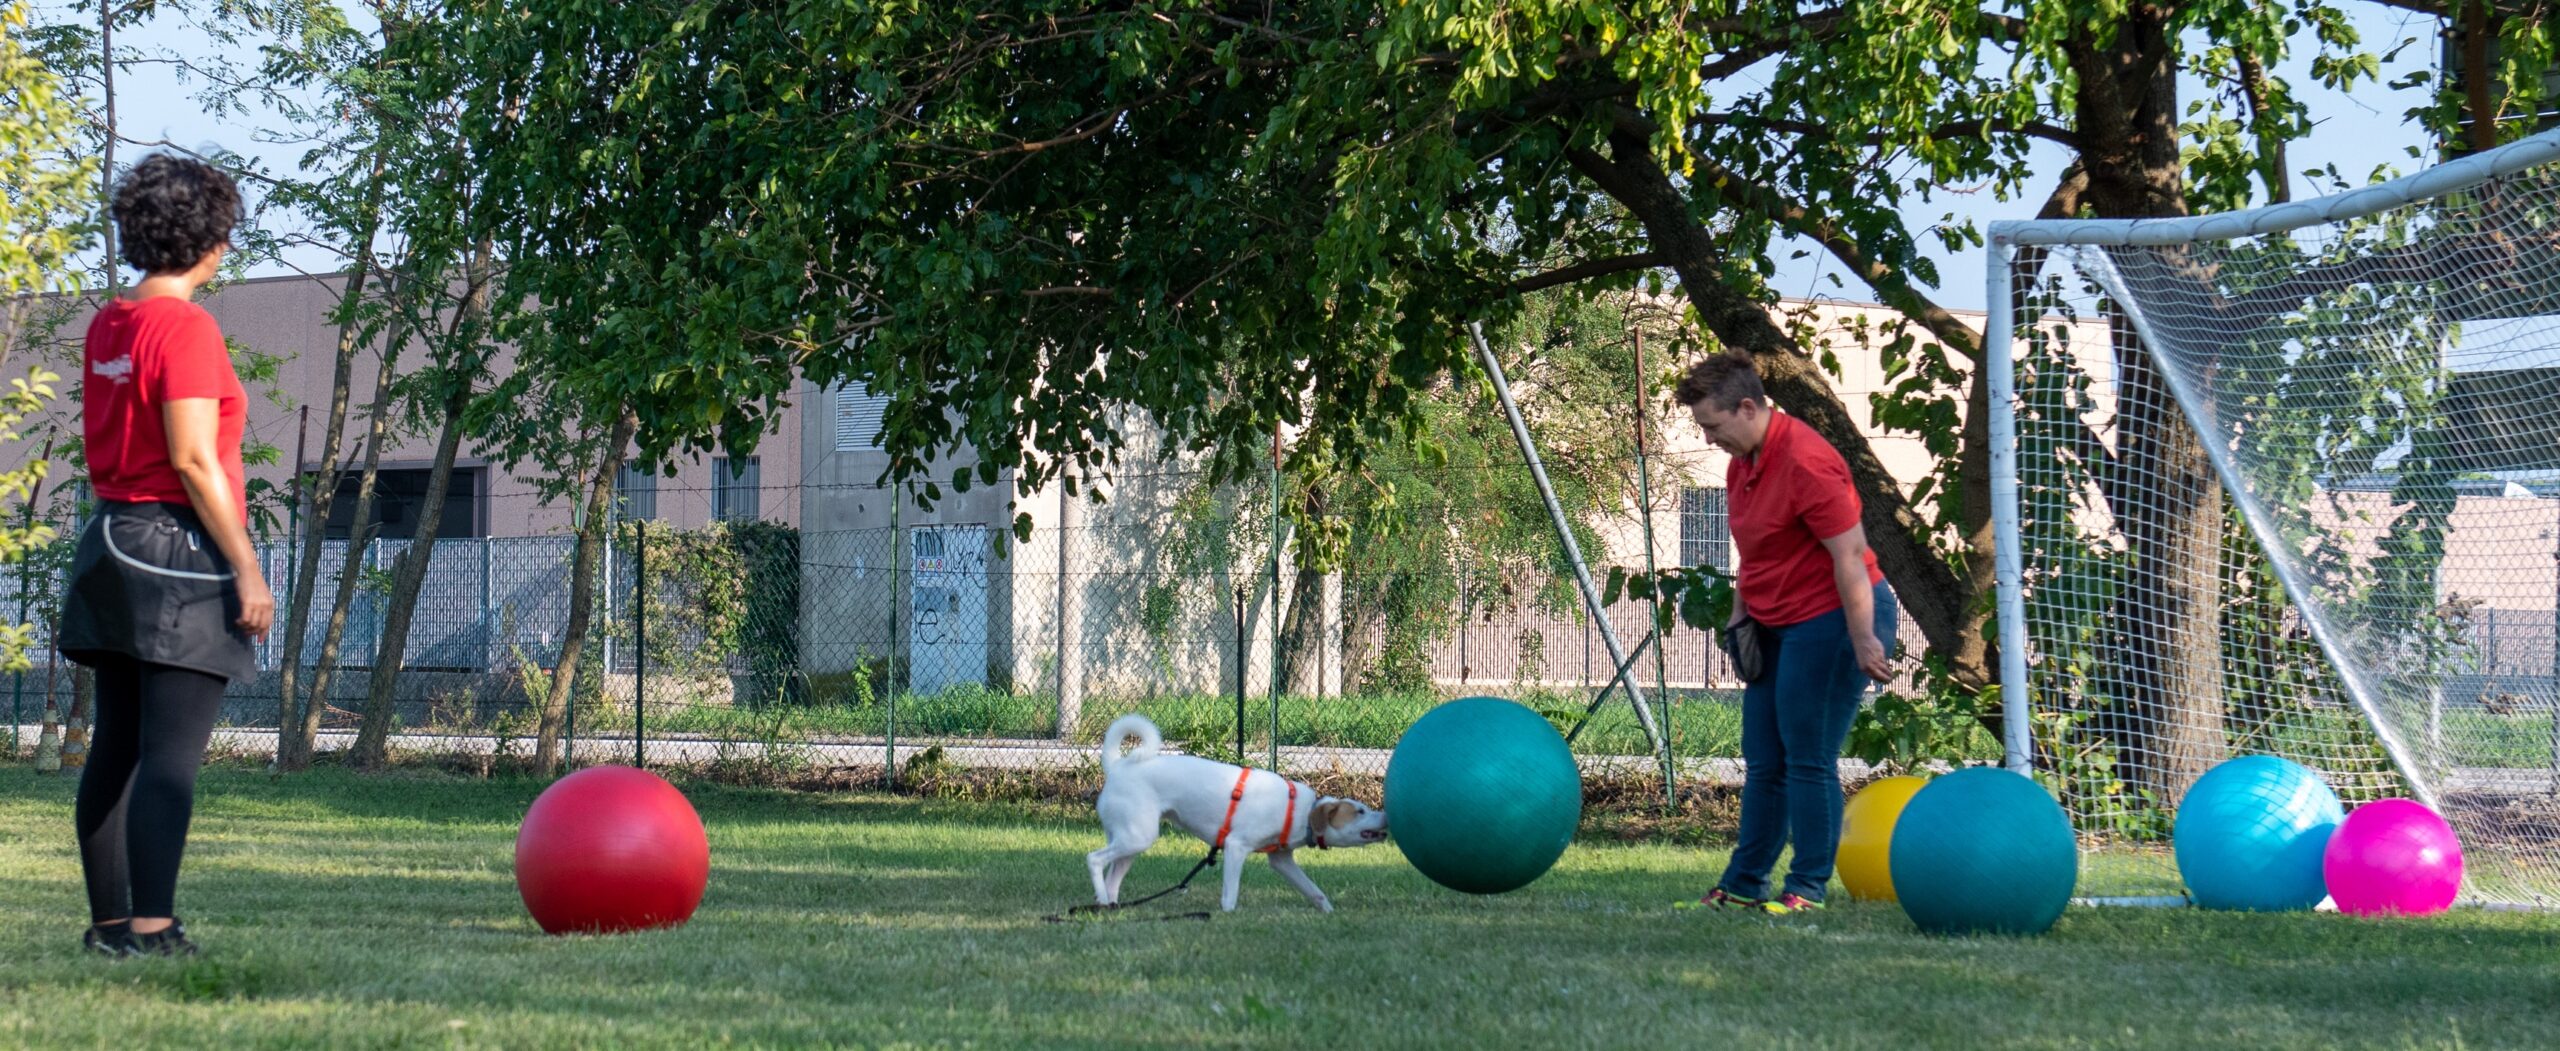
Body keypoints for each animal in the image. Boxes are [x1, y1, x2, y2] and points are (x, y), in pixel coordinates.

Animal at [1090, 716, 1392, 915]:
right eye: (1360, 811)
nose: (1386, 815)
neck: (1303, 812)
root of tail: (1117, 767)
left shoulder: (1282, 860)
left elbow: (1314, 890)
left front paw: (1328, 911)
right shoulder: (1236, 847)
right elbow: (1230, 893)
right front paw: (1227, 914)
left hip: (1131, 842)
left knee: (1112, 878)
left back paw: (1110, 905)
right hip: (1137, 837)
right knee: (1094, 860)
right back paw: (1103, 900)